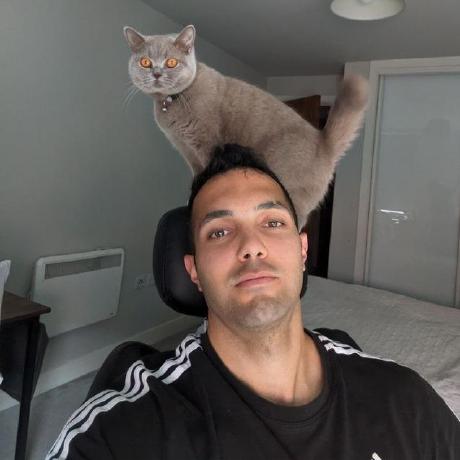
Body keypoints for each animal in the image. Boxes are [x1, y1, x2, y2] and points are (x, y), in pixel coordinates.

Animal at [124, 24, 368, 228]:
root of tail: (323, 141)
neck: (172, 102)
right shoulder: (187, 151)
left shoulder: (205, 143)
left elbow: (207, 174)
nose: (156, 73)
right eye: (145, 62)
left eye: (171, 62)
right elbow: (197, 176)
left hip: (290, 186)